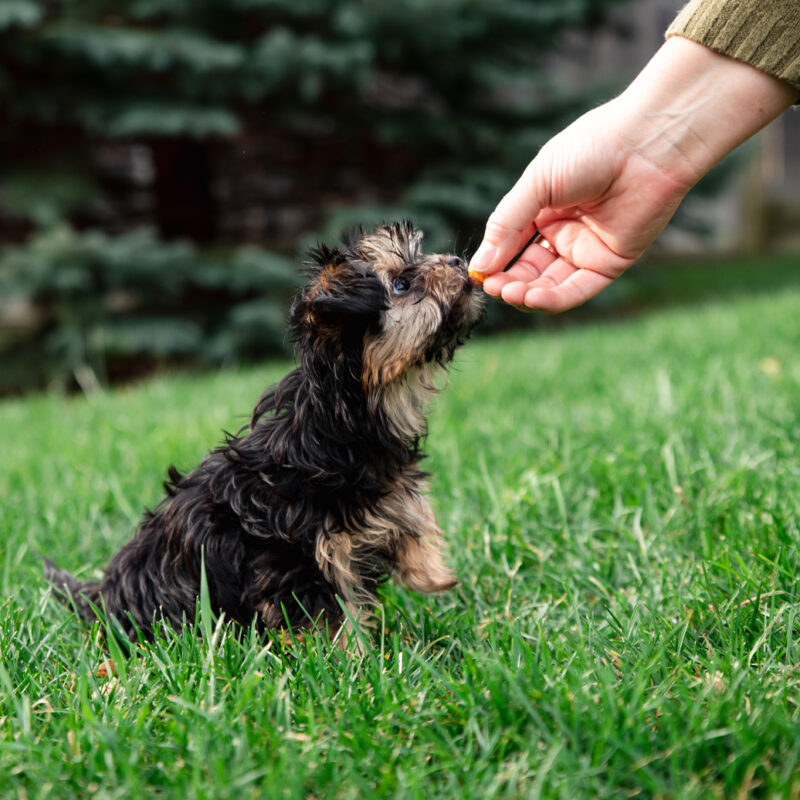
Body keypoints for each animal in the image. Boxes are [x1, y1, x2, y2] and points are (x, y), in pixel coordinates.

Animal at [47, 222, 484, 648]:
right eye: (401, 284)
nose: (458, 261)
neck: (340, 422)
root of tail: (102, 597)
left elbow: (409, 515)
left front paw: (430, 571)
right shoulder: (294, 556)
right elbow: (331, 614)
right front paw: (349, 659)